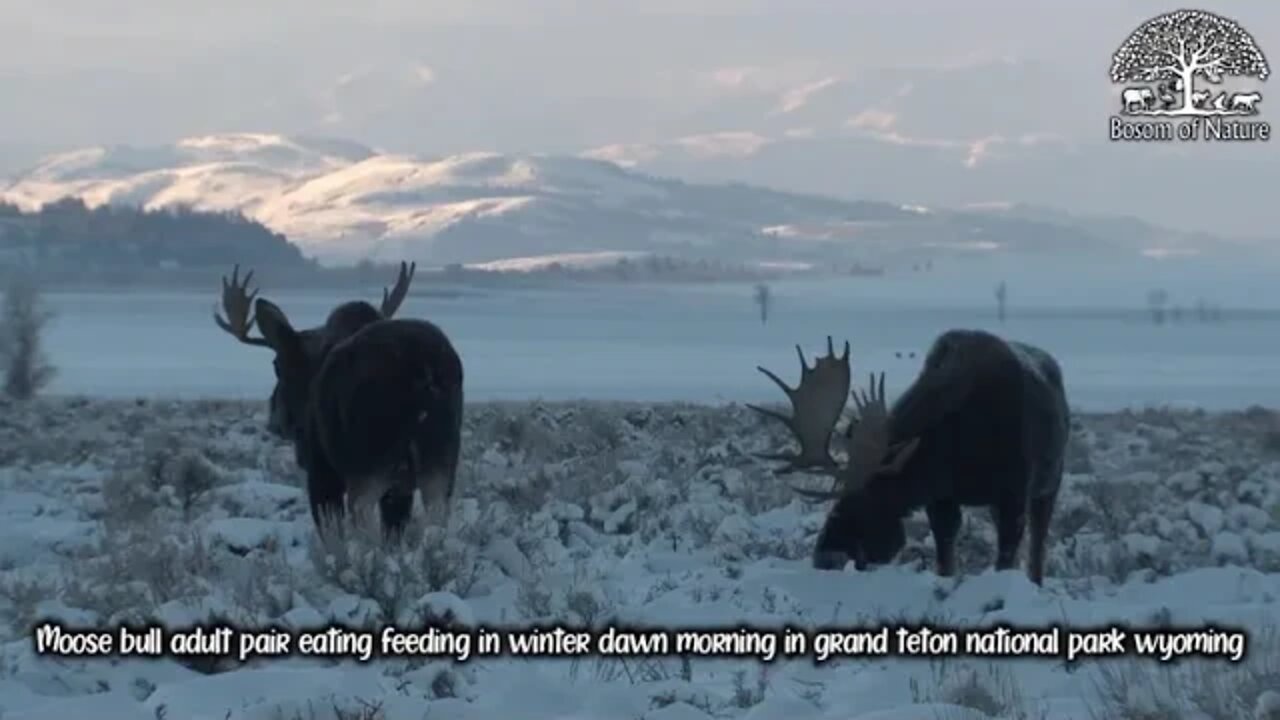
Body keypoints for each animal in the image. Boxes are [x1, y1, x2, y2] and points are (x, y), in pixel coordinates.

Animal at [213, 262, 465, 538]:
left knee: (363, 523)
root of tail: (425, 371)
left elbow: (332, 534)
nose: (275, 420)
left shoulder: (321, 469)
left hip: (369, 463)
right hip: (440, 463)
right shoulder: (400, 489)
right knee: (436, 525)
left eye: (277, 365)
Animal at [747, 330, 1070, 584]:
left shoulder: (1013, 492)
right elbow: (945, 554)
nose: (825, 556)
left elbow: (1006, 555)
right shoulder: (941, 497)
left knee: (1038, 543)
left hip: (1049, 482)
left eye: (870, 497)